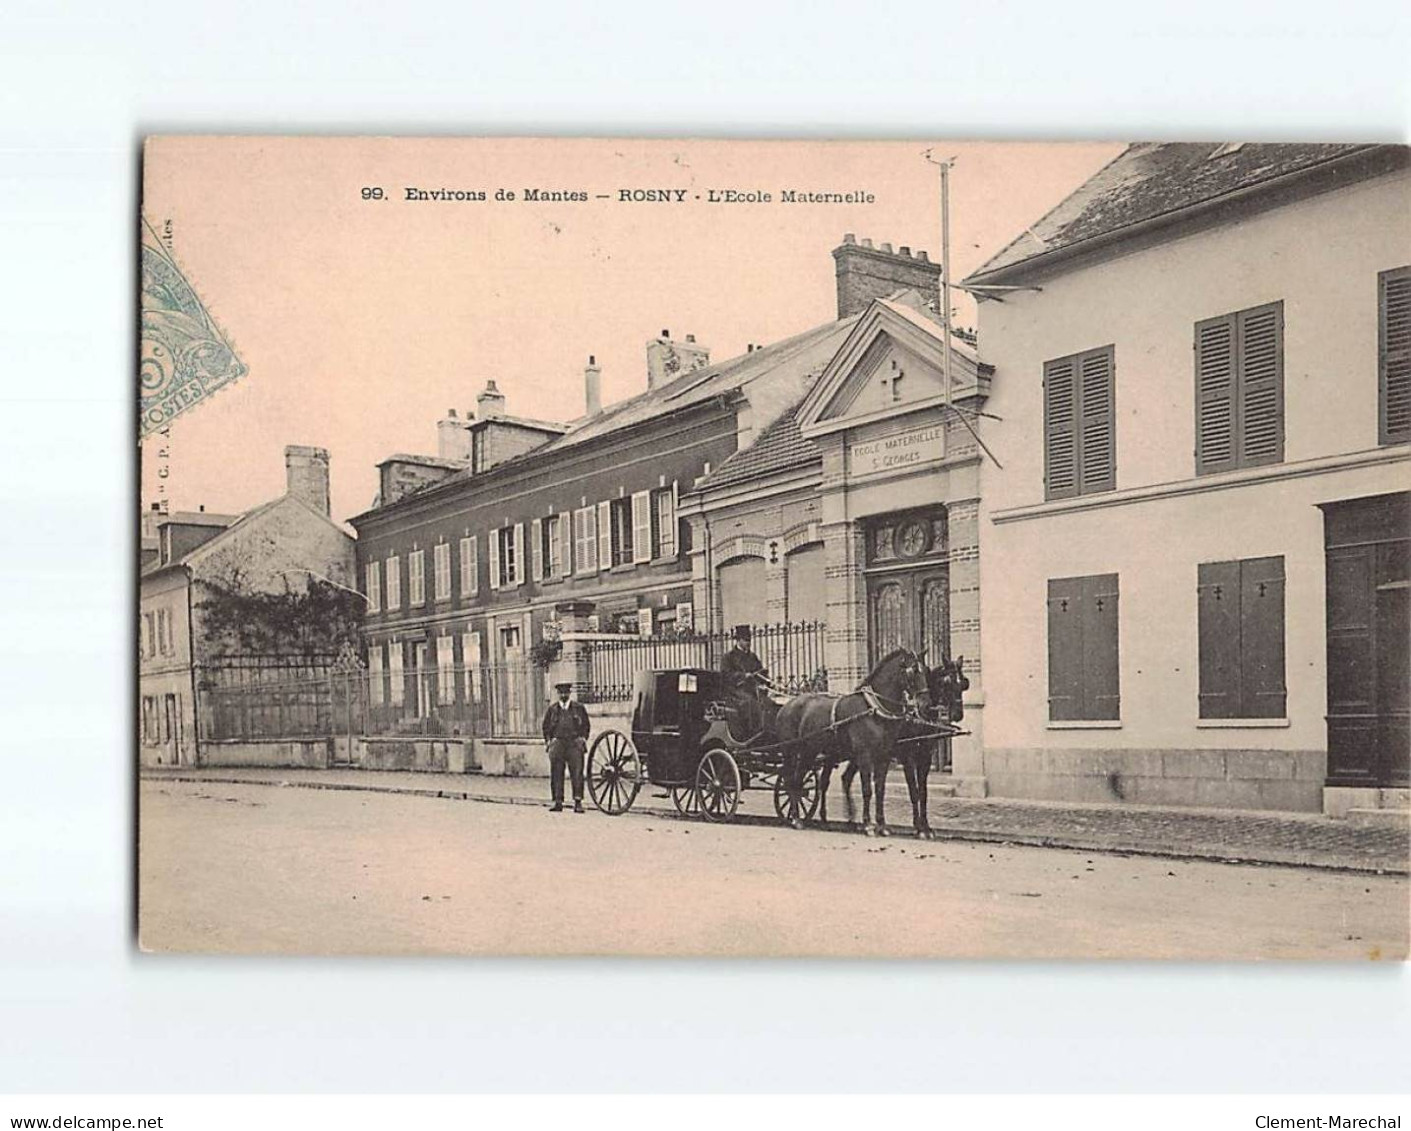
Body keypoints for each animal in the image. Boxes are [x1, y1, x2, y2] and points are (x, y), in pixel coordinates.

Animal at [778, 643, 931, 834]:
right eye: (913, 671)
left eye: (925, 671)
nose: (925, 704)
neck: (874, 708)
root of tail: (786, 706)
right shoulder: (864, 755)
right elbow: (867, 789)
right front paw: (868, 824)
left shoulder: (884, 756)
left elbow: (880, 789)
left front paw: (882, 825)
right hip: (793, 752)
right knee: (792, 780)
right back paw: (796, 818)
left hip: (812, 752)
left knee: (803, 780)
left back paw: (805, 818)